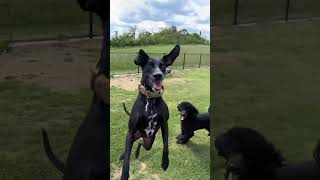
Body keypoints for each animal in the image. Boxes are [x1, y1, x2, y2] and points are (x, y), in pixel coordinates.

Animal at [119, 44, 180, 179]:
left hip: (148, 142)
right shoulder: (131, 130)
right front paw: (124, 174)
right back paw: (124, 154)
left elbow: (166, 145)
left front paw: (165, 162)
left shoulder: (164, 124)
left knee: (140, 143)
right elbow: (127, 154)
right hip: (135, 134)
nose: (158, 75)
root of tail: (143, 136)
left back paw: (137, 152)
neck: (150, 98)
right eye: (149, 65)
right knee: (132, 144)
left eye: (162, 66)